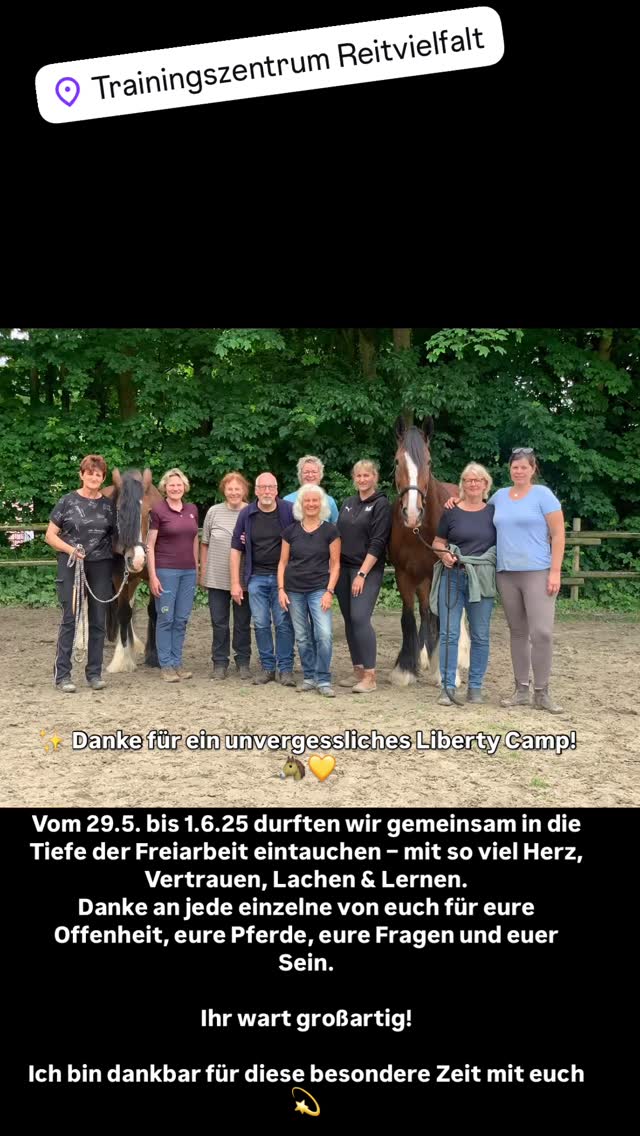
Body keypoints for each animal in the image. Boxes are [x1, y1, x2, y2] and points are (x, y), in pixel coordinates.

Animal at [103, 468, 163, 672]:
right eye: (119, 512)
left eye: (150, 512)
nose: (136, 559)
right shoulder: (118, 578)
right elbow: (123, 613)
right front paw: (122, 660)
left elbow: (153, 611)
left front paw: (154, 655)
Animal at [389, 415, 469, 687]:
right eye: (397, 461)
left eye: (429, 461)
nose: (412, 513)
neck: (419, 531)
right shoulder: (404, 574)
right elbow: (409, 617)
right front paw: (405, 668)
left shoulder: (441, 573)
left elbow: (442, 617)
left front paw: (444, 671)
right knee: (425, 612)